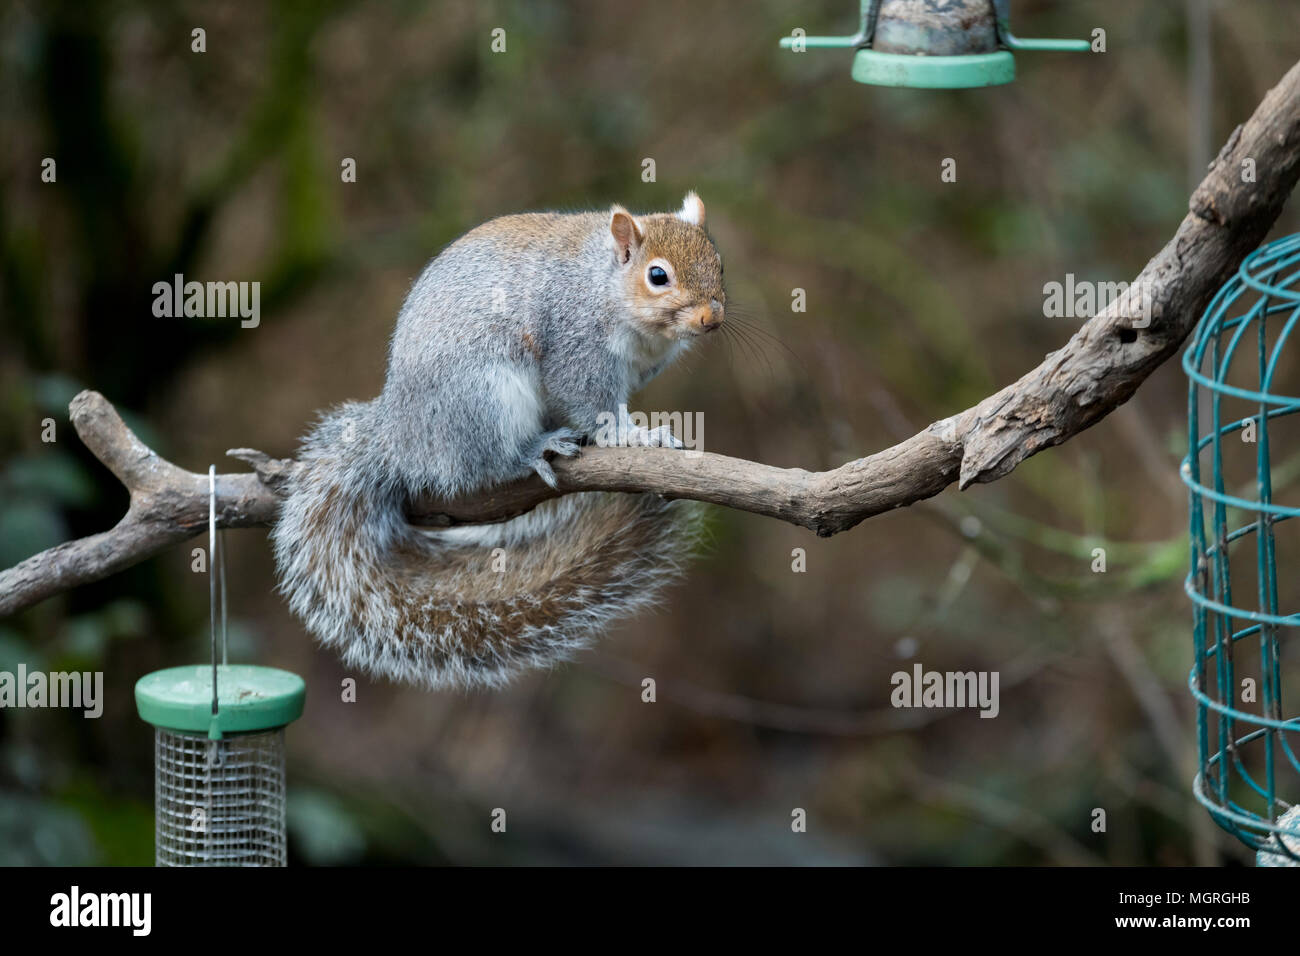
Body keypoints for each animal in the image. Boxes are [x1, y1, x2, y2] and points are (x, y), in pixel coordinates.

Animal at [270, 192, 728, 686]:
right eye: (657, 276)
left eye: (719, 263)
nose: (711, 318)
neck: (606, 285)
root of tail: (403, 440)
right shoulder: (575, 344)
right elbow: (591, 402)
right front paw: (635, 435)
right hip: (484, 399)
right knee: (488, 463)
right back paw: (532, 450)